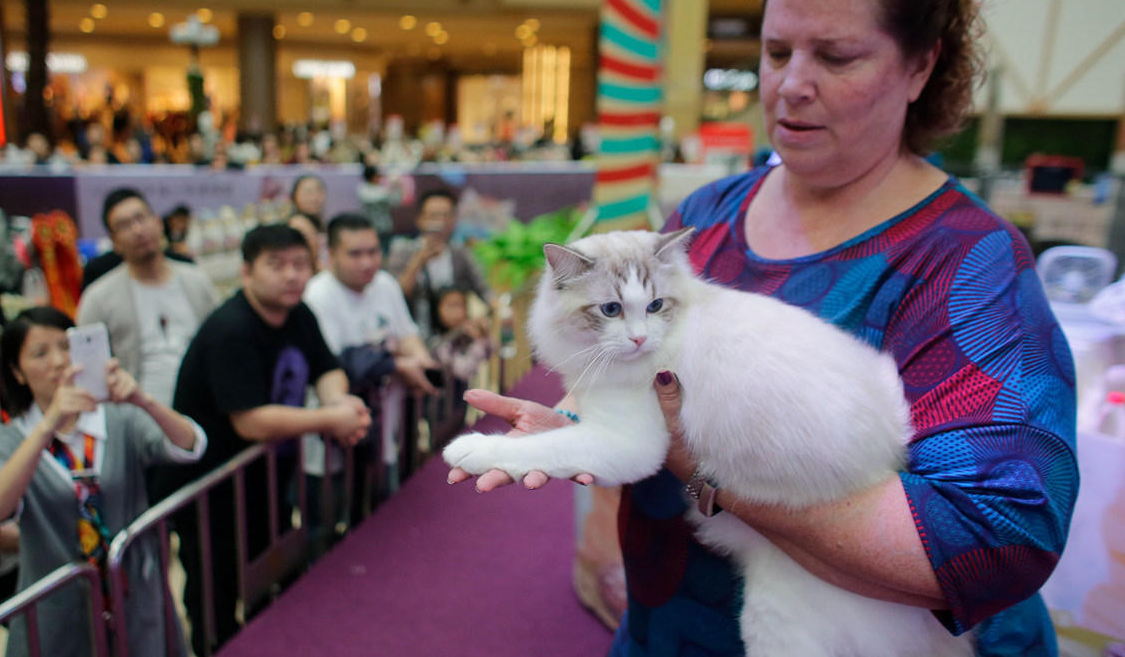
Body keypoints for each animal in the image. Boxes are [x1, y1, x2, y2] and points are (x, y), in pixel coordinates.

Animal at [443, 228, 972, 652]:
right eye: (610, 310)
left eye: (655, 306)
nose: (639, 340)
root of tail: (891, 456)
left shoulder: (625, 443)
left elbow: (540, 446)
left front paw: (472, 448)